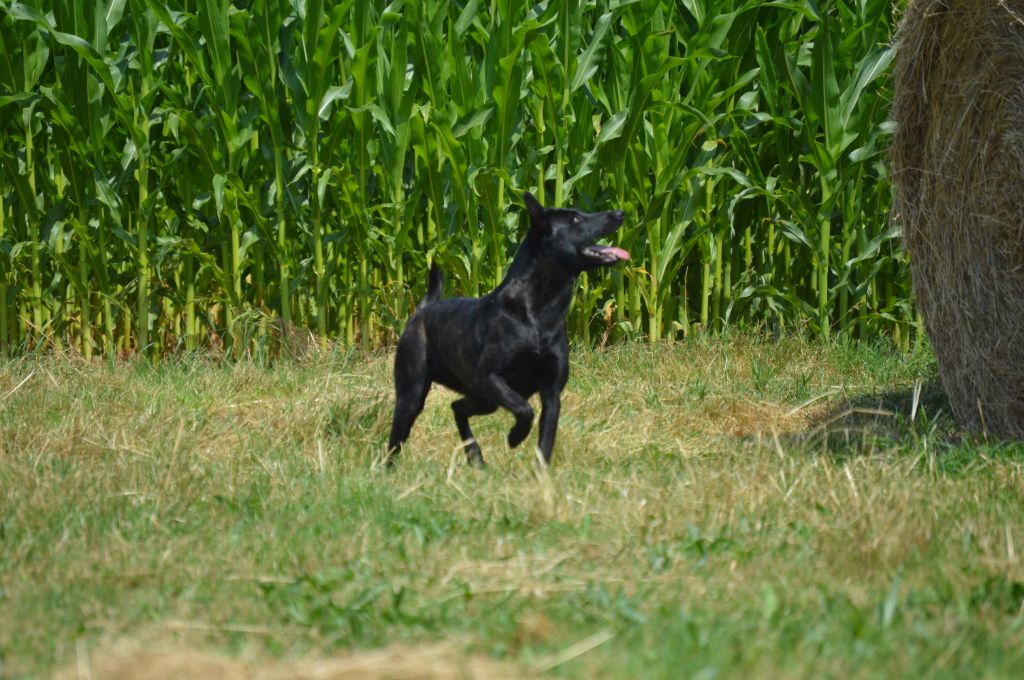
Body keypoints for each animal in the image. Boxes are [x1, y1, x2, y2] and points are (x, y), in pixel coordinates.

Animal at [385, 192, 622, 466]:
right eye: (575, 219)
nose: (619, 213)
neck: (540, 311)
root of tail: (421, 311)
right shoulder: (489, 377)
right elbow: (524, 409)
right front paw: (515, 437)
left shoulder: (551, 394)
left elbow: (545, 443)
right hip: (414, 395)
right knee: (396, 439)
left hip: (483, 399)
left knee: (457, 407)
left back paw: (475, 457)